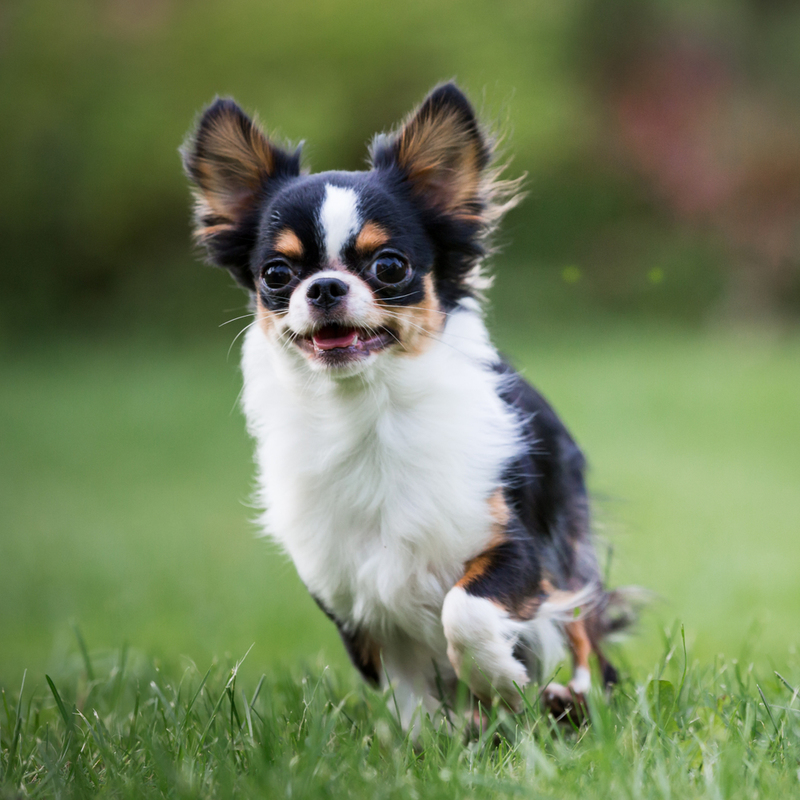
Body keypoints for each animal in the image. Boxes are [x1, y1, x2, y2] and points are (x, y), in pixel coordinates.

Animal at [184, 83, 628, 732]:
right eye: (277, 273)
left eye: (389, 266)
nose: (324, 287)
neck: (368, 409)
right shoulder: (355, 598)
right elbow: (408, 690)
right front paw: (438, 741)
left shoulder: (513, 543)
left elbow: (464, 612)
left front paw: (502, 681)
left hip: (566, 540)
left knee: (583, 632)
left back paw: (569, 697)